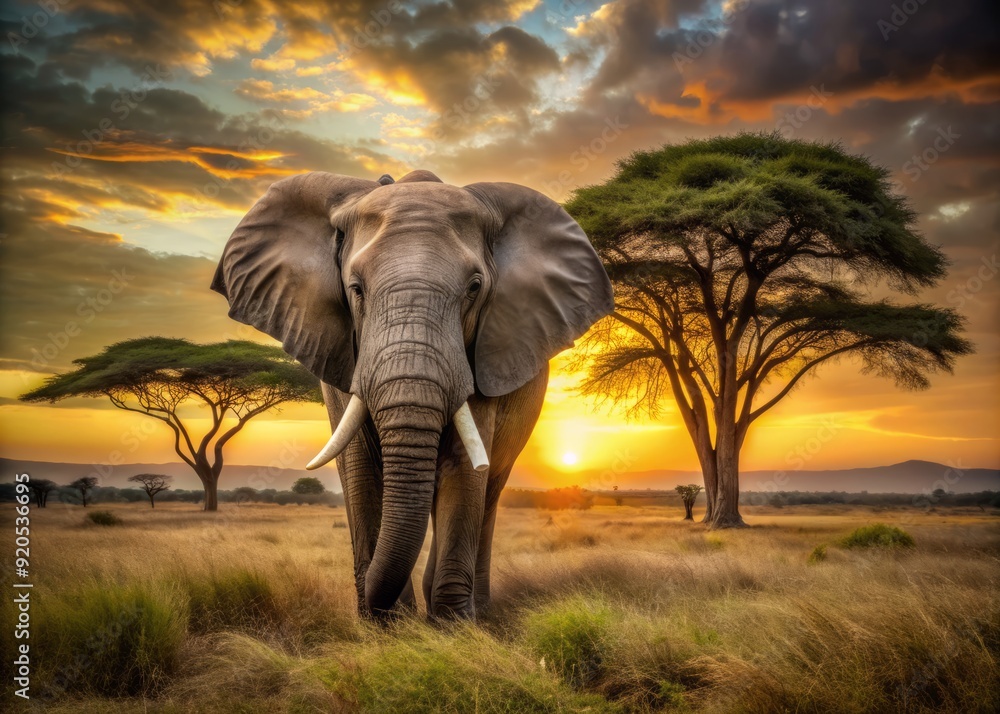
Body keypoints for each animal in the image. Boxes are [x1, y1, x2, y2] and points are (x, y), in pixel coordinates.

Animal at [211, 169, 612, 620]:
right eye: (356, 288)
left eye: (475, 288)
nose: (373, 604)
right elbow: (361, 465)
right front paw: (387, 626)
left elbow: (463, 466)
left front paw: (452, 626)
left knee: (490, 489)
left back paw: (478, 612)